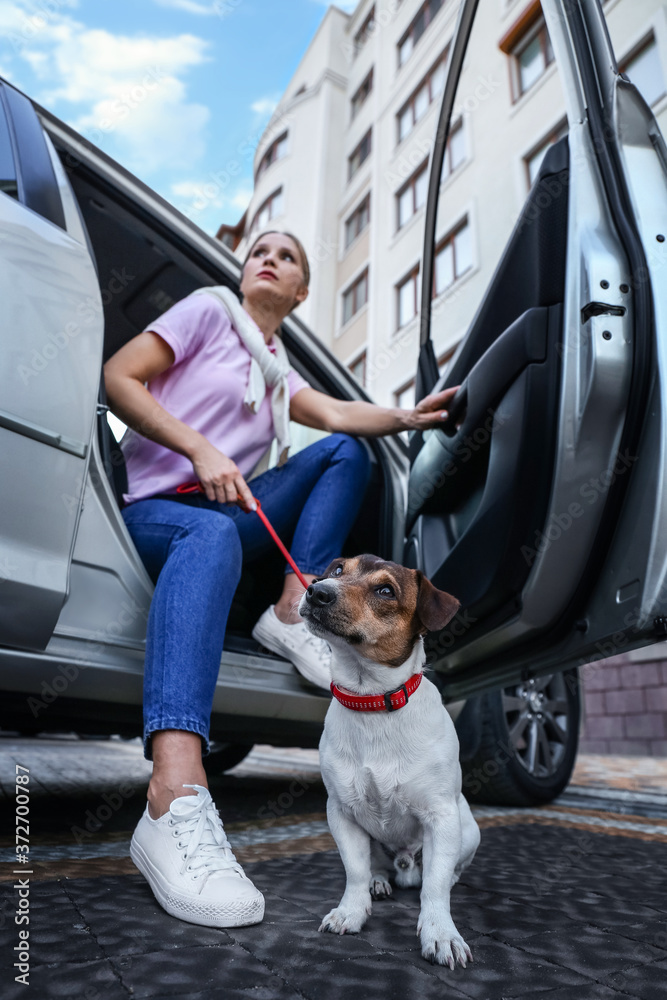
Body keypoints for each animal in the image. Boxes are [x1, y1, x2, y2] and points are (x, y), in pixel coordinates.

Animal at [300, 556, 482, 968]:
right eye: (338, 570)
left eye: (385, 590)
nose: (316, 590)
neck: (371, 700)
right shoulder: (341, 813)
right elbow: (354, 870)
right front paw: (351, 911)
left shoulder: (442, 817)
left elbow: (435, 888)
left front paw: (441, 933)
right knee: (375, 866)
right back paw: (379, 880)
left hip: (468, 830)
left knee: (444, 872)